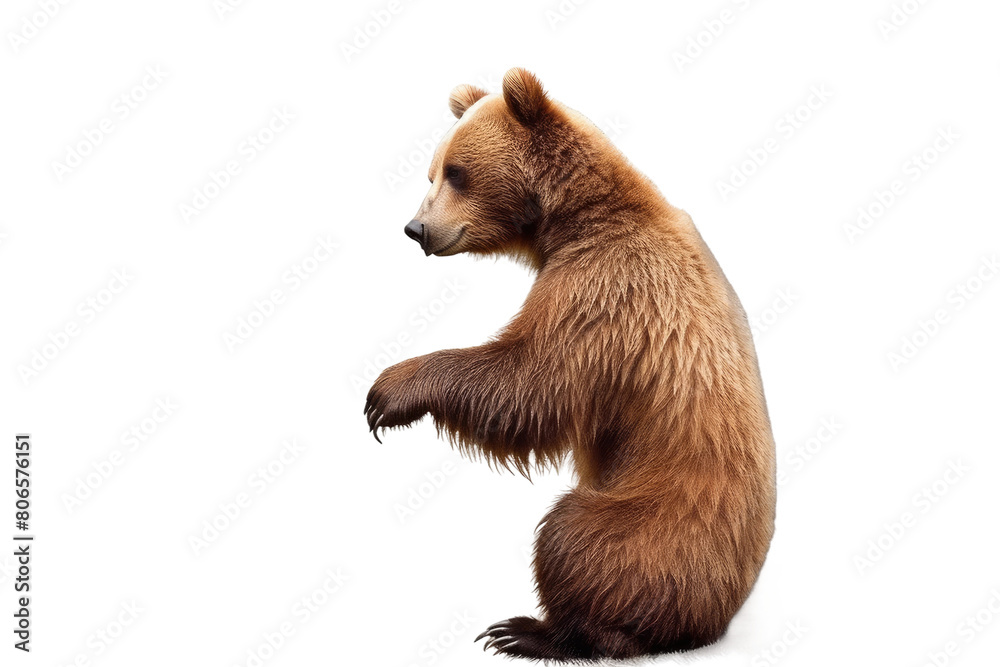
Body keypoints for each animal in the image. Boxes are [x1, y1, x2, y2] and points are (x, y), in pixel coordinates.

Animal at [365, 68, 776, 661]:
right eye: (431, 171)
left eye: (457, 173)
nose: (416, 229)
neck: (572, 221)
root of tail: (725, 611)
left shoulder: (605, 288)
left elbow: (527, 382)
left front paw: (389, 390)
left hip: (663, 521)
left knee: (575, 538)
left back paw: (535, 631)